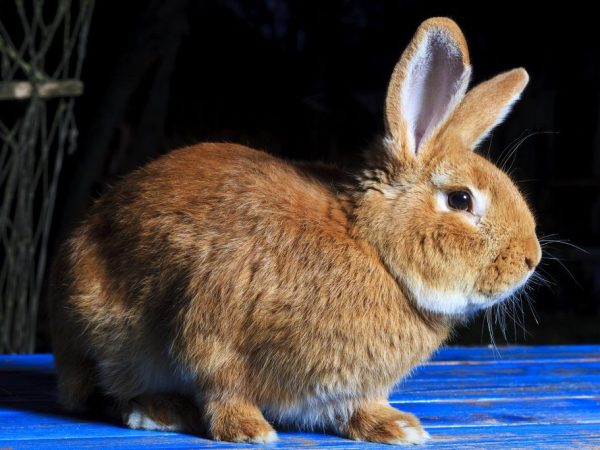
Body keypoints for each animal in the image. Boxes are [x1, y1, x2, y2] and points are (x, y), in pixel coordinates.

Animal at [49, 15, 540, 444]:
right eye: (461, 200)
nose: (530, 259)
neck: (372, 249)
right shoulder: (211, 330)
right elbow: (223, 387)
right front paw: (249, 431)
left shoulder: (349, 388)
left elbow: (357, 407)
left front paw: (396, 428)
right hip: (106, 333)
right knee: (106, 390)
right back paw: (158, 411)